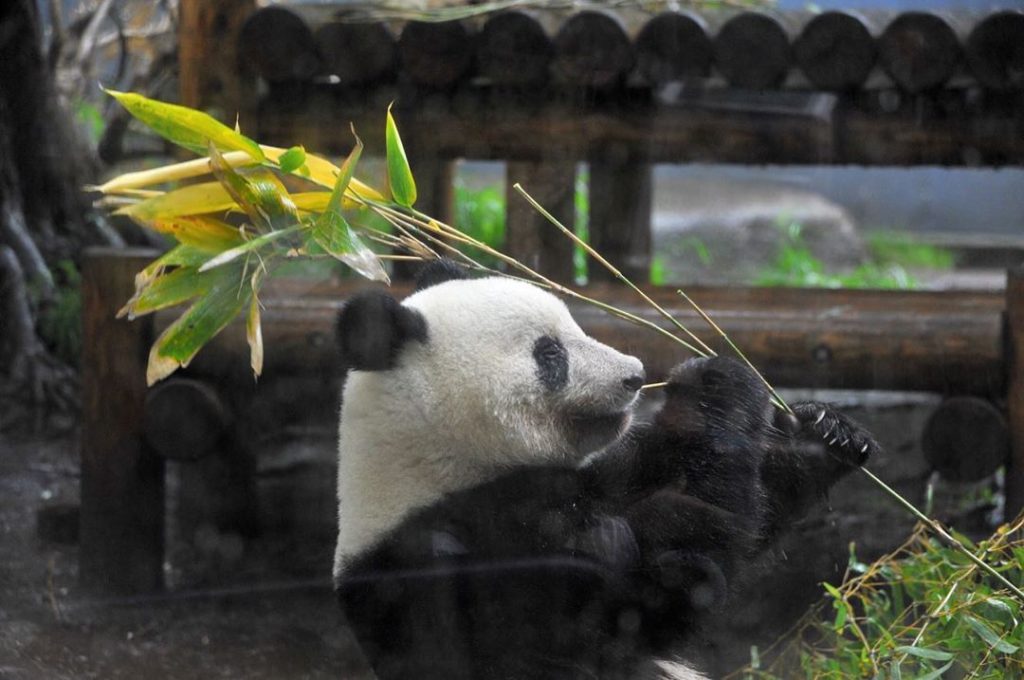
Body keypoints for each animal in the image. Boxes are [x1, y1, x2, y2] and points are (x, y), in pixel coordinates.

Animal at [333, 260, 878, 680]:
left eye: (576, 328)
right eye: (550, 353)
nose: (635, 376)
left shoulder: (602, 473)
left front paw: (822, 435)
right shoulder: (453, 566)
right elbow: (652, 596)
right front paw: (713, 386)